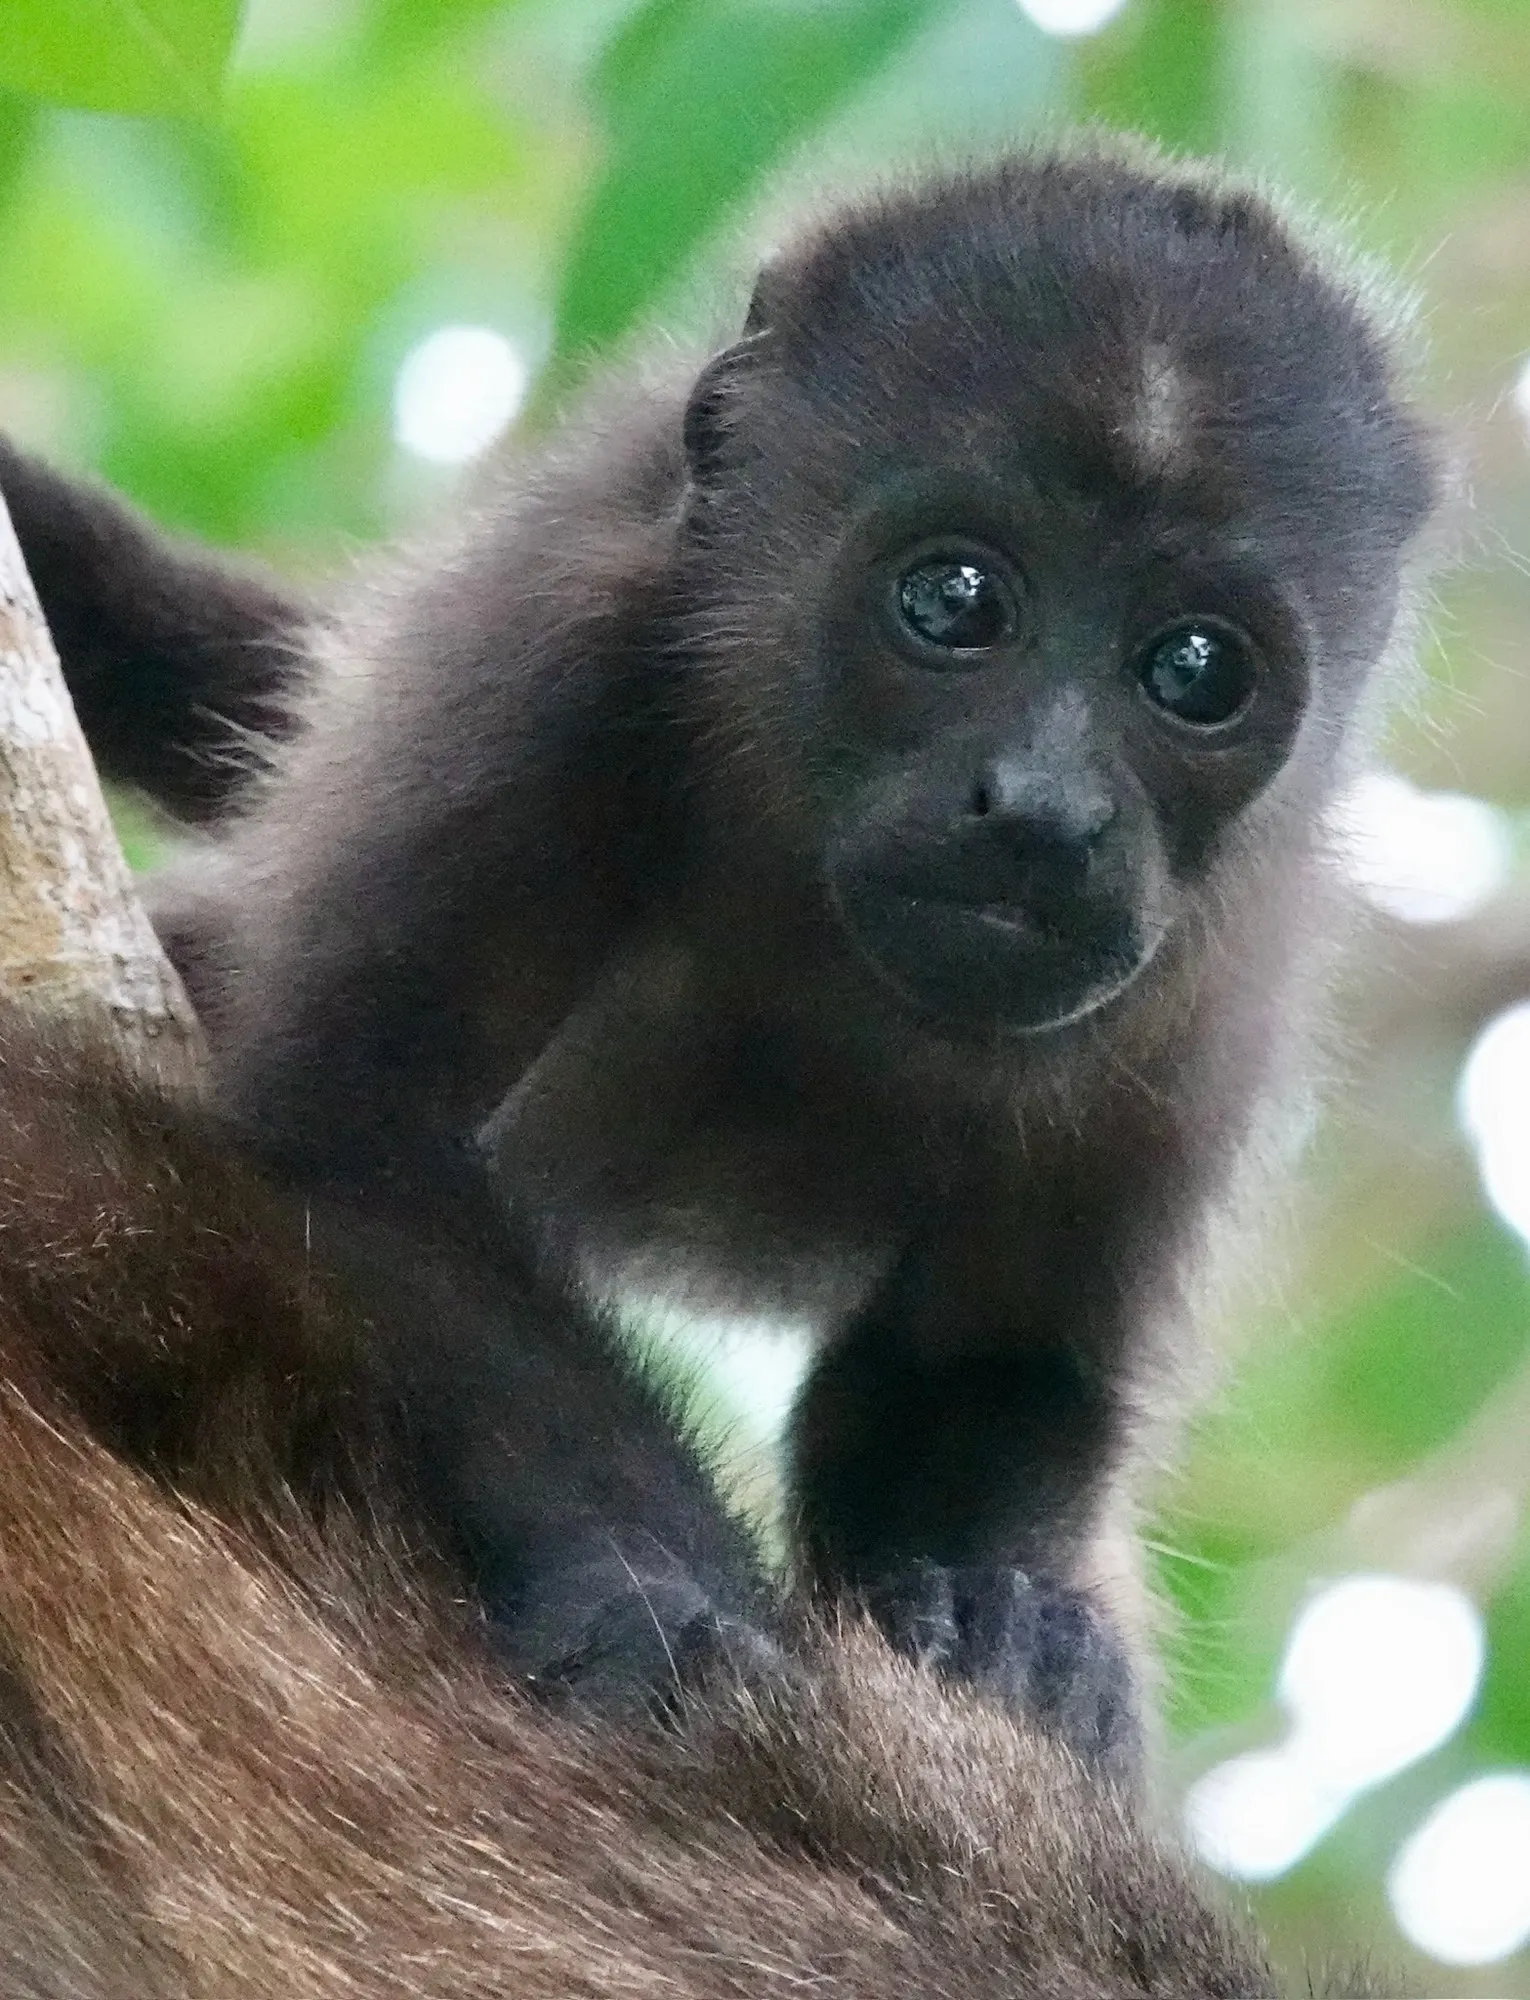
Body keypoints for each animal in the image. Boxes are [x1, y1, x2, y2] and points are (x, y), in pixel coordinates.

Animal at [0, 142, 1443, 1709]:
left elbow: (995, 1356)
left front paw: (1001, 1626)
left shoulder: (1225, 959)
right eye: (954, 597)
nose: (1044, 807)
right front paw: (656, 1589)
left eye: (1194, 670)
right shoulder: (556, 667)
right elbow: (377, 1139)